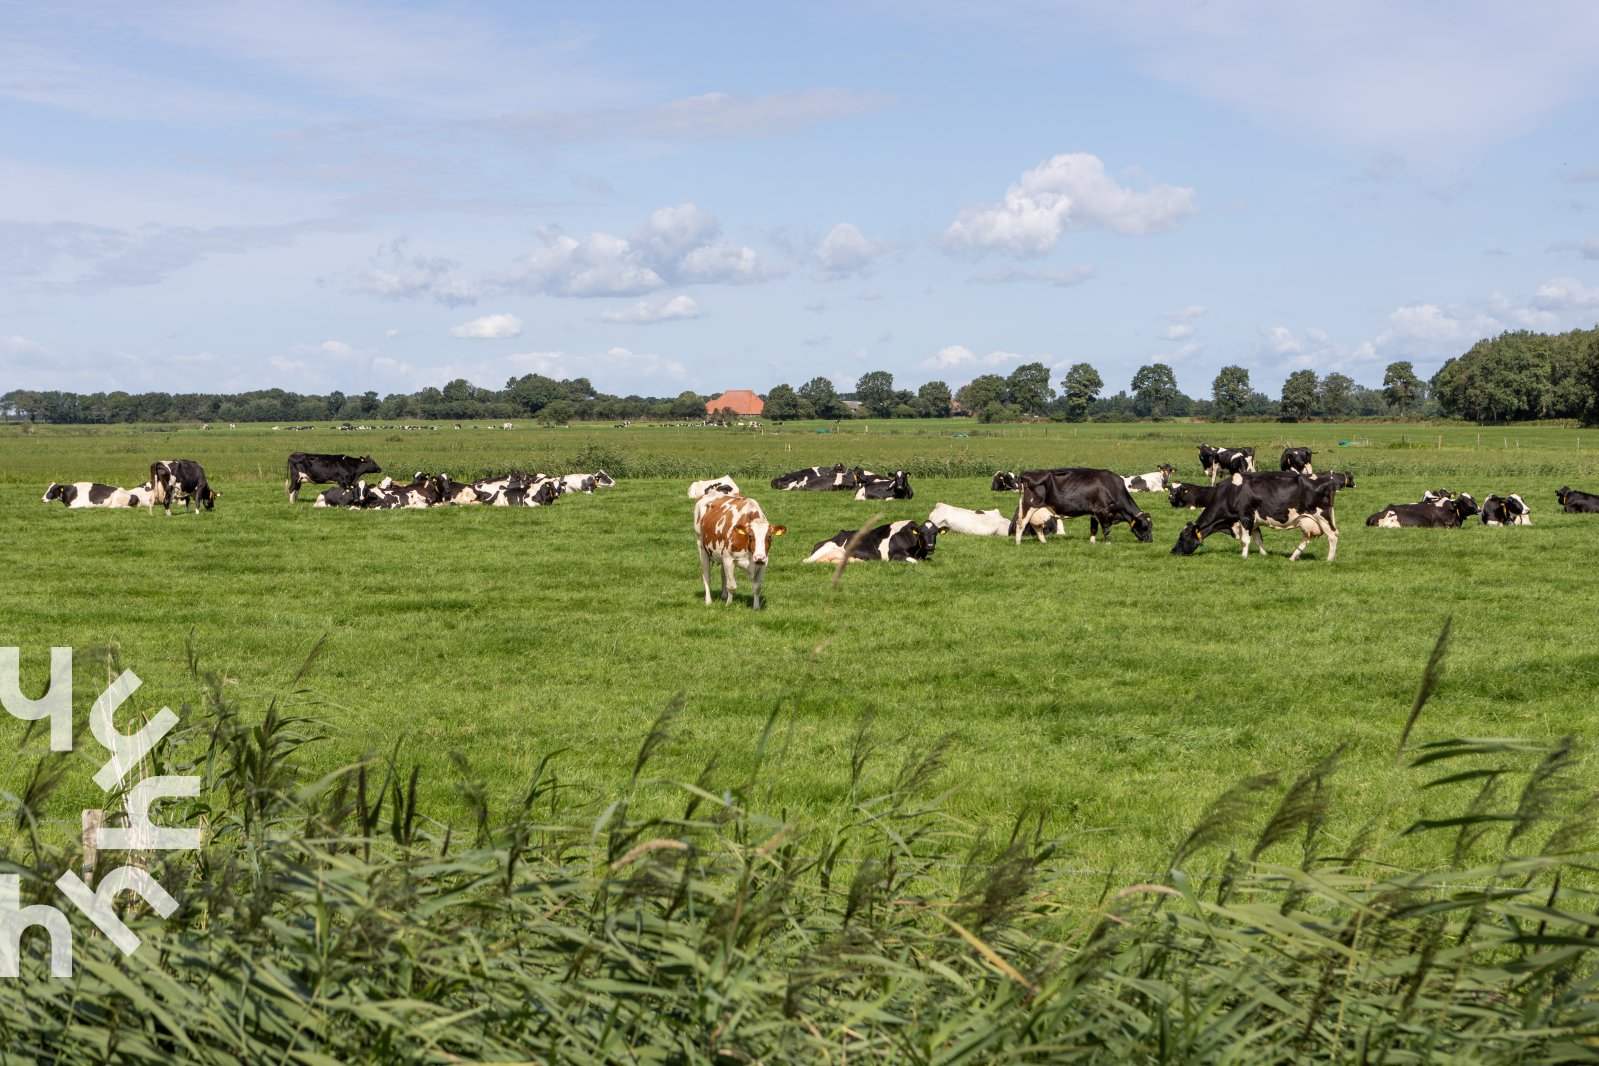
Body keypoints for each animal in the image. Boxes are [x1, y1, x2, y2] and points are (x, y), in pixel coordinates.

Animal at [805, 517, 940, 562]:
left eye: (936, 533)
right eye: (921, 533)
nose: (930, 546)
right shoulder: (893, 556)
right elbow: (915, 562)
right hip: (826, 547)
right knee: (806, 561)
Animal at [1010, 469, 1151, 546]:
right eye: (1145, 527)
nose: (1150, 541)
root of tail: (1028, 472)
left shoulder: (1094, 512)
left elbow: (1093, 528)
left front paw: (1092, 542)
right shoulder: (1102, 511)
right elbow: (1105, 529)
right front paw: (1108, 543)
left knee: (1036, 526)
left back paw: (1044, 542)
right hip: (1030, 505)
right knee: (1021, 523)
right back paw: (1018, 543)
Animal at [1170, 473, 1343, 562]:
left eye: (1183, 536)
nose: (1173, 551)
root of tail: (1327, 479)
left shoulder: (1245, 517)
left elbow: (1245, 540)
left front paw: (1244, 556)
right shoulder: (1254, 522)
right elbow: (1258, 539)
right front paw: (1264, 555)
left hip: (1322, 516)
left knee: (1332, 535)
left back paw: (1329, 559)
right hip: (1307, 520)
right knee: (1306, 538)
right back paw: (1293, 557)